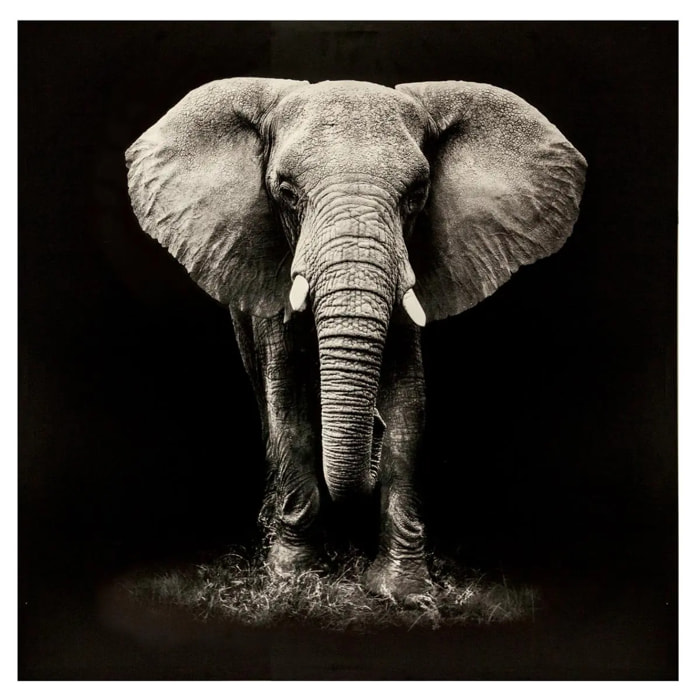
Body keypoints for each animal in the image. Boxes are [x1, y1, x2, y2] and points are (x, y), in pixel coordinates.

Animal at [125, 78, 586, 601]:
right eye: (286, 192)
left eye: (417, 194)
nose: (372, 432)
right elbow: (287, 403)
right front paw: (294, 580)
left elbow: (409, 407)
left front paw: (404, 592)